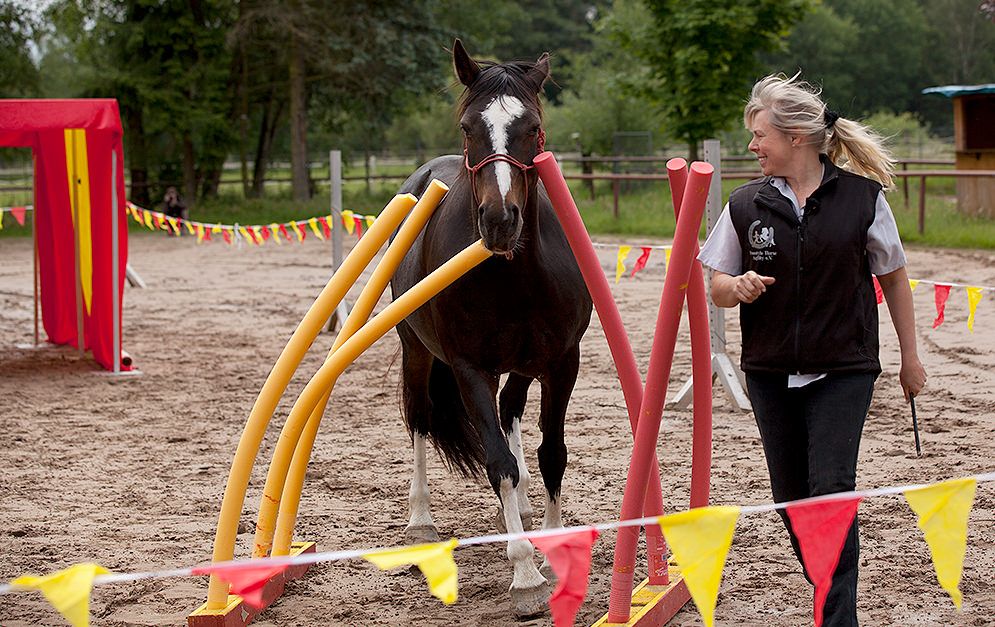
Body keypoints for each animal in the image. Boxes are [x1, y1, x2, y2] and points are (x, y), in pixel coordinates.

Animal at [390, 40, 592, 620]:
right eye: (467, 127)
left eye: (534, 128)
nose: (500, 221)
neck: (515, 274)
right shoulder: (469, 368)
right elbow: (497, 460)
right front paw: (525, 574)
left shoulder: (561, 362)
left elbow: (551, 452)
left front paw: (549, 546)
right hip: (416, 351)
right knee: (420, 419)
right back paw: (421, 521)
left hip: (522, 367)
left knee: (511, 412)